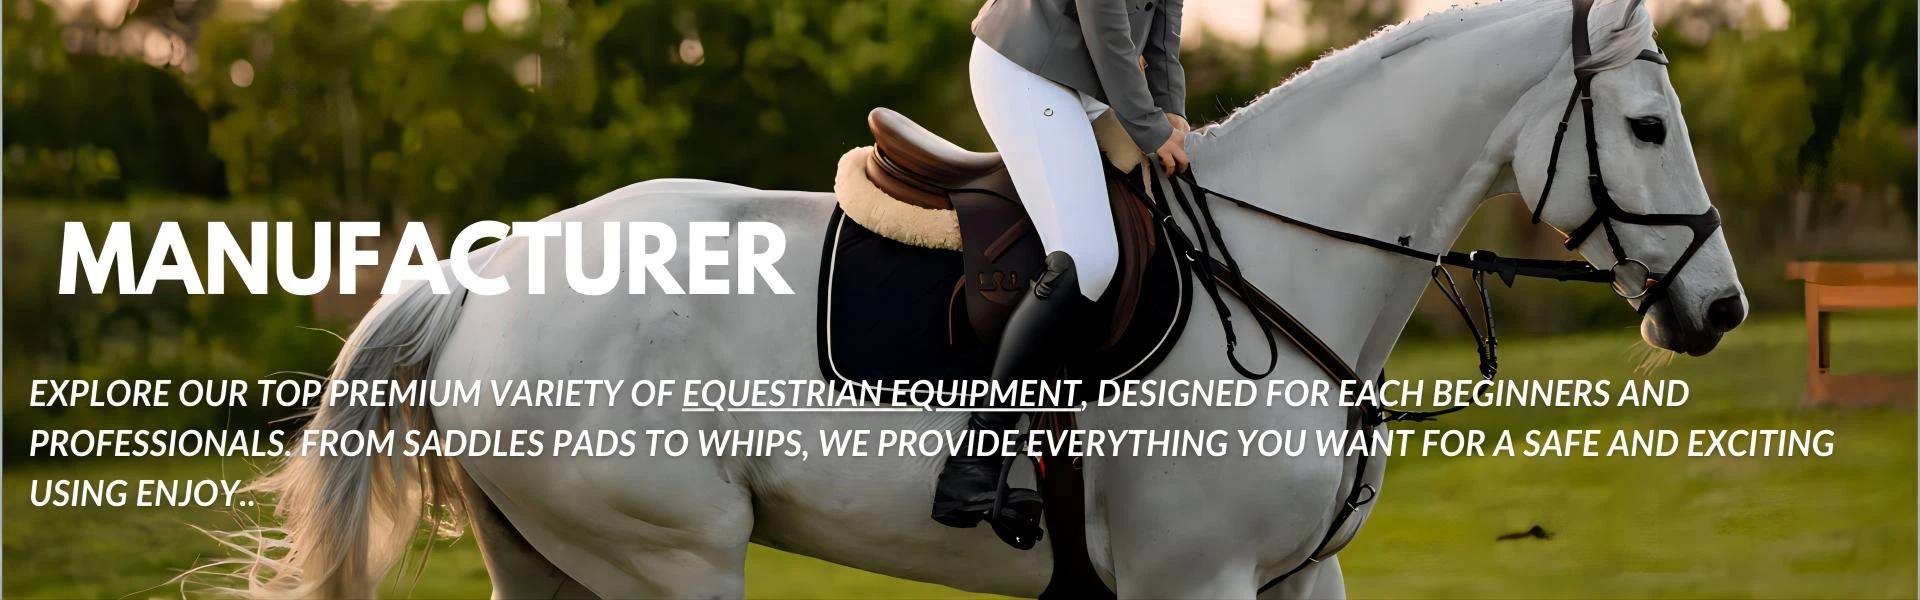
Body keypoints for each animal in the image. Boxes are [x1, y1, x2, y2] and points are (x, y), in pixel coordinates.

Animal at [216, 0, 1746, 597]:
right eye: (1651, 130)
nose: (1721, 313)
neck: (1284, 271)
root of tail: (478, 279)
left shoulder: (1299, 578)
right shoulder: (1199, 582)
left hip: (551, 556)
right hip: (672, 557)